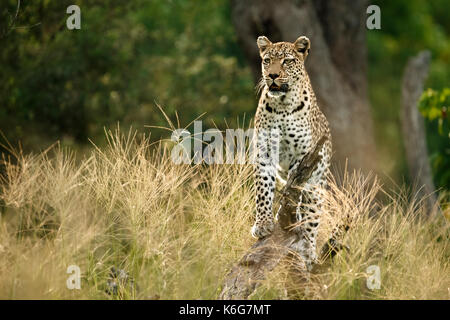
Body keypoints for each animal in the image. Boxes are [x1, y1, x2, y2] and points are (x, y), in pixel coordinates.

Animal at [251, 34, 332, 268]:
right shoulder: (265, 152)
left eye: (287, 61)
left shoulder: (302, 157)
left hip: (318, 186)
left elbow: (293, 189)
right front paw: (263, 224)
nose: (272, 75)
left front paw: (283, 214)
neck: (282, 106)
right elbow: (263, 190)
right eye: (267, 60)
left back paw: (308, 250)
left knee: (311, 220)